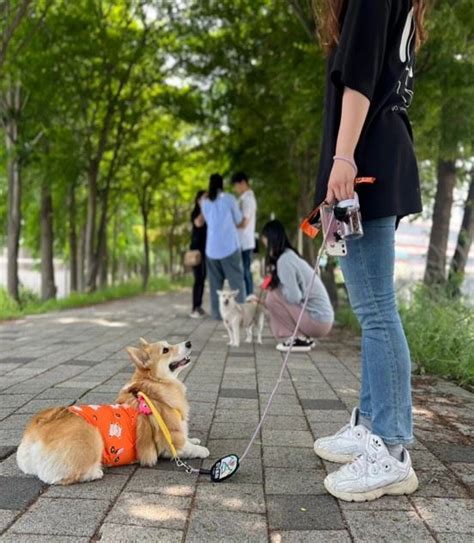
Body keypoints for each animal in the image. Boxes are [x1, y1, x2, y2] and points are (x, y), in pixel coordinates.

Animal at [17, 338, 209, 486]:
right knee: (58, 477)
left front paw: (194, 439)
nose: (189, 342)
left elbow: (189, 439)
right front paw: (202, 450)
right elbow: (190, 448)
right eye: (166, 349)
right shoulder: (172, 442)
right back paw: (96, 472)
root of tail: (34, 435)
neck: (154, 385)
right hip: (92, 435)